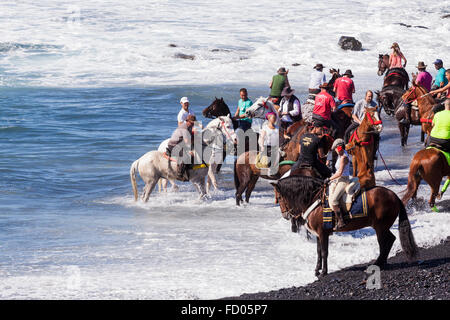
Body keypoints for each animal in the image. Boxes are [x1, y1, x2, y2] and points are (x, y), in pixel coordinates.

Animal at [272, 175, 420, 278]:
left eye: (279, 198)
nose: (285, 215)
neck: (315, 199)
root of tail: (394, 195)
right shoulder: (318, 234)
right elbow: (319, 252)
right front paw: (317, 270)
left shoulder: (323, 233)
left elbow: (324, 252)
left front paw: (324, 272)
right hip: (381, 227)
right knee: (389, 240)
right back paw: (381, 262)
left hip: (380, 227)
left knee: (386, 242)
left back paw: (378, 263)